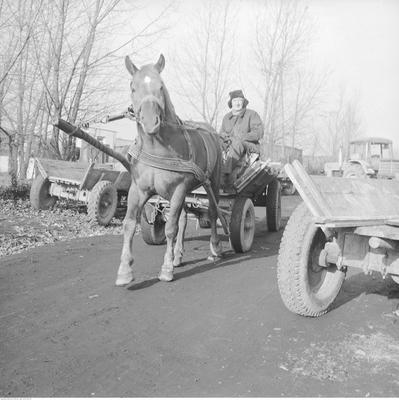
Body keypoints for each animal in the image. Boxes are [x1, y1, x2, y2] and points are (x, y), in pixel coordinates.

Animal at [116, 54, 225, 284]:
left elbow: (170, 228)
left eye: (160, 86)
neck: (157, 147)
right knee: (183, 219)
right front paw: (125, 270)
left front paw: (166, 268)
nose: (150, 122)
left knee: (212, 213)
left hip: (213, 182)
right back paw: (178, 255)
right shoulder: (137, 189)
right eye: (133, 87)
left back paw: (214, 248)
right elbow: (129, 224)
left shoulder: (177, 190)